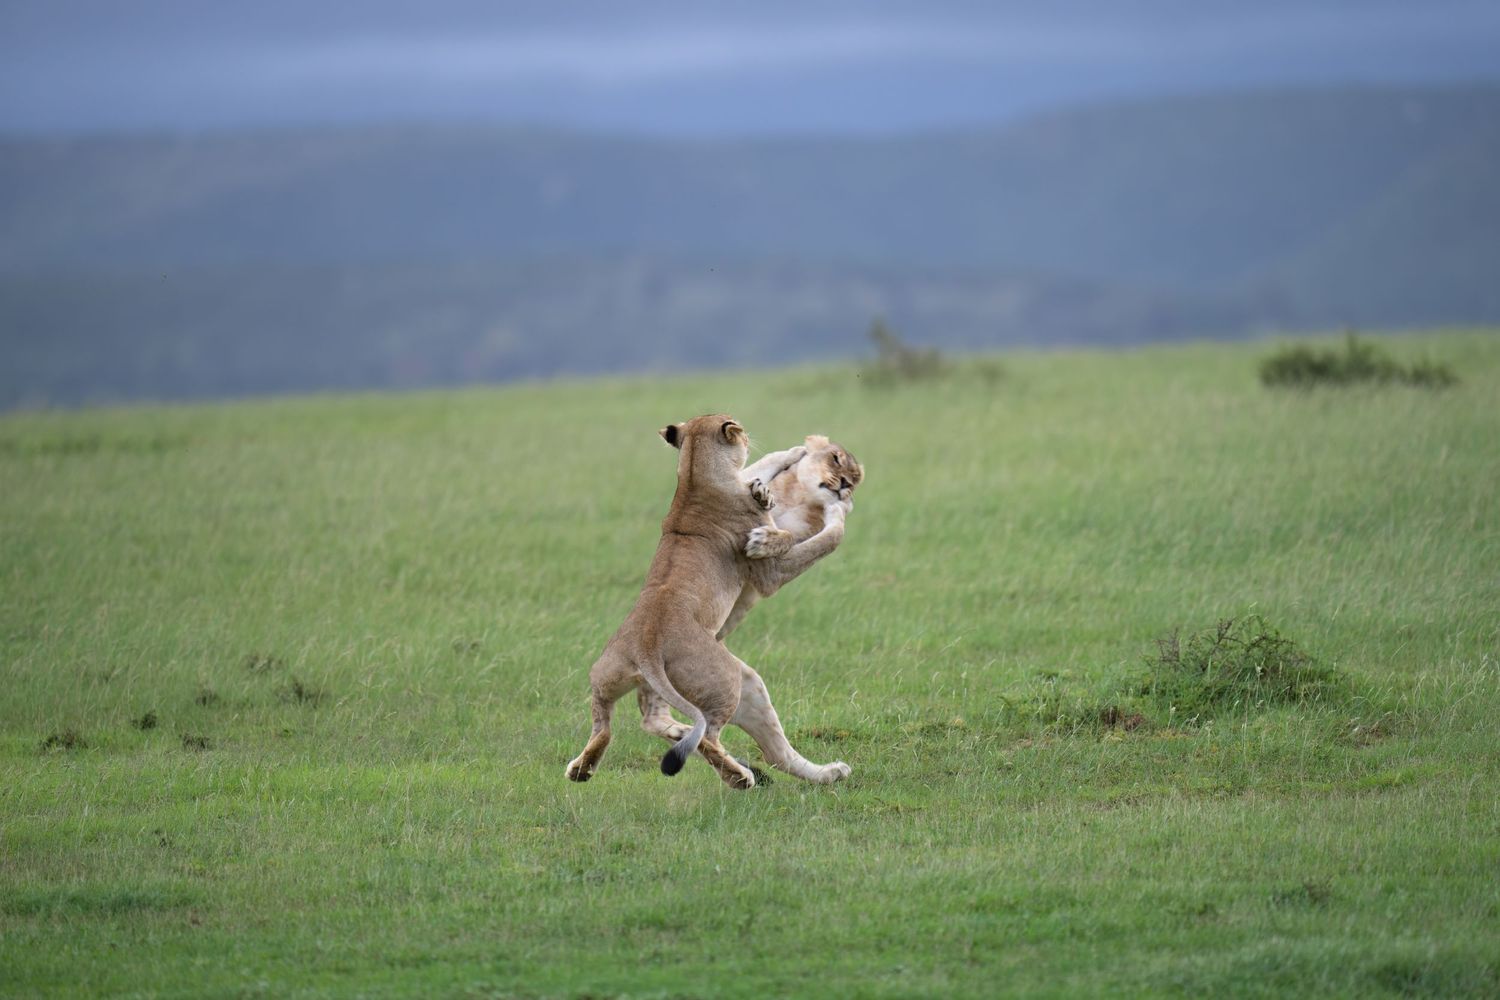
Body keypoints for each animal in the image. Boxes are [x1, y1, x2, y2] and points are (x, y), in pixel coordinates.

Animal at [564, 415, 852, 789]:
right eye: (740, 429)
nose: (845, 485)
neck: (693, 480)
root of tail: (647, 648)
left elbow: (764, 468)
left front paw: (790, 458)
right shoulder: (770, 573)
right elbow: (814, 539)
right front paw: (818, 509)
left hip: (606, 676)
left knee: (604, 726)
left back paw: (581, 769)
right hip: (725, 680)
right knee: (708, 738)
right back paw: (740, 776)